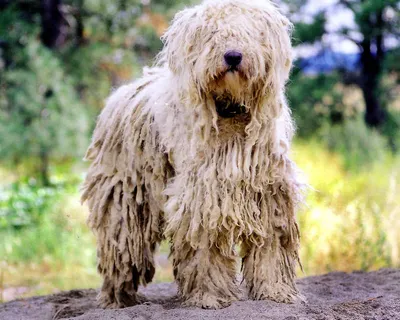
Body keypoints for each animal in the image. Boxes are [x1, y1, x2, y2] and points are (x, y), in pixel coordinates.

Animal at [81, 0, 304, 310]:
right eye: (212, 33)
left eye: (249, 32)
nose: (233, 56)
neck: (230, 113)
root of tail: (123, 93)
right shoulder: (202, 195)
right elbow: (204, 248)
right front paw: (209, 296)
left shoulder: (269, 190)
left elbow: (271, 243)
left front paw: (275, 291)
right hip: (124, 196)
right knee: (121, 247)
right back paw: (118, 298)